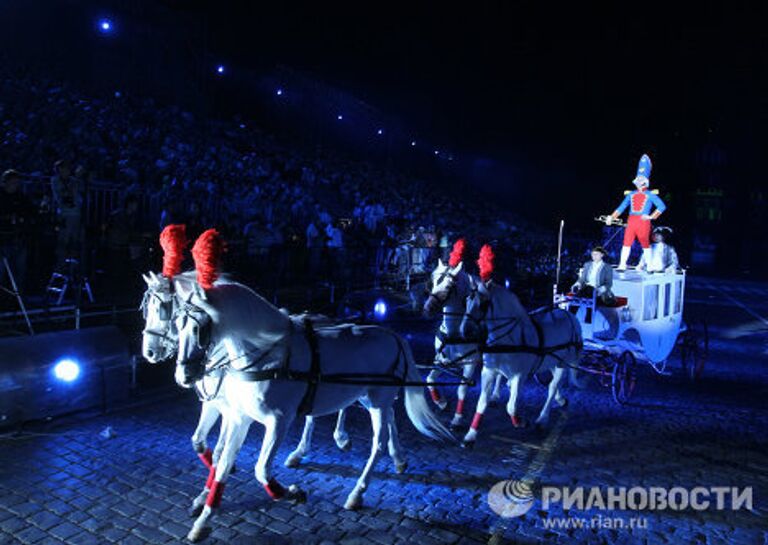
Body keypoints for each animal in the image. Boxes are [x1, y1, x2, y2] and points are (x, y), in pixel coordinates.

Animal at [172, 278, 456, 540]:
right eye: (176, 325)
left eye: (198, 329)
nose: (183, 376)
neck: (268, 355)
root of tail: (394, 336)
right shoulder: (239, 418)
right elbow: (222, 463)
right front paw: (204, 518)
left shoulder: (278, 421)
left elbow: (261, 469)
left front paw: (291, 493)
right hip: (368, 397)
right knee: (390, 420)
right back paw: (396, 458)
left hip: (376, 399)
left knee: (378, 441)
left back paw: (357, 491)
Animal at [424, 260, 508, 424]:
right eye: (433, 283)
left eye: (449, 286)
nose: (427, 309)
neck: (454, 333)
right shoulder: (441, 361)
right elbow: (429, 379)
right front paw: (441, 402)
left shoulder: (470, 364)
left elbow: (461, 390)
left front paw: (457, 419)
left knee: (499, 374)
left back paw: (494, 395)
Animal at [460, 276, 580, 446]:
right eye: (467, 300)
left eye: (483, 304)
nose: (465, 331)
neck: (510, 337)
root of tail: (570, 316)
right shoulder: (489, 372)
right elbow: (482, 403)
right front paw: (470, 436)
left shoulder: (519, 376)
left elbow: (511, 406)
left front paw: (520, 422)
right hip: (550, 361)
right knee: (554, 385)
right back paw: (561, 400)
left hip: (561, 364)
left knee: (552, 387)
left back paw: (542, 419)